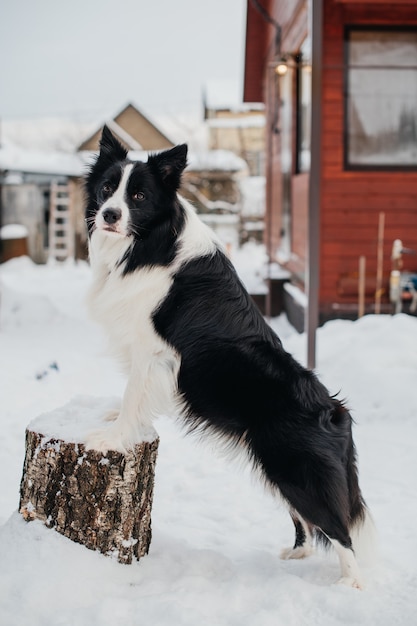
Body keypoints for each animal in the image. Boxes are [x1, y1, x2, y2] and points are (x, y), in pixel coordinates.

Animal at [84, 125, 370, 584]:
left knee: (340, 530)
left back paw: (351, 585)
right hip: (279, 470)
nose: (109, 214)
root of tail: (336, 411)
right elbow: (133, 394)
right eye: (108, 188)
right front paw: (116, 418)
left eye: (139, 196)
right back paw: (298, 555)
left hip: (296, 470)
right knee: (309, 524)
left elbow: (134, 394)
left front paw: (114, 436)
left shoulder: (153, 351)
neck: (152, 242)